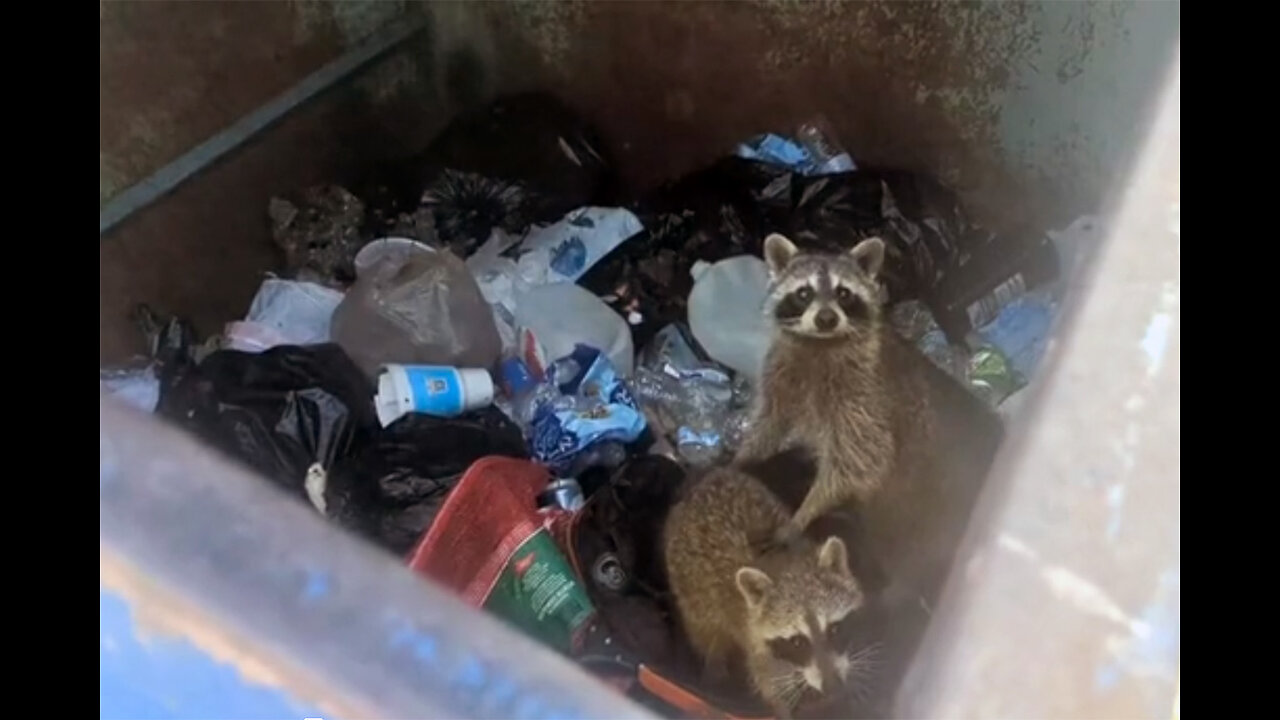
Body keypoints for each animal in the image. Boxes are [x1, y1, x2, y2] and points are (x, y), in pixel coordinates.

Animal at [660, 461, 870, 712]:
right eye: (797, 642)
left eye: (834, 629)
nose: (832, 687)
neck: (789, 564)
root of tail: (704, 476)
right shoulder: (755, 639)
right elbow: (770, 686)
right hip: (690, 589)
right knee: (706, 632)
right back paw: (714, 664)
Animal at [737, 233, 936, 545]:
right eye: (804, 293)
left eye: (844, 293)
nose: (826, 318)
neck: (821, 343)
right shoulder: (779, 373)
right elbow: (769, 421)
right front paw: (742, 458)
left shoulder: (864, 396)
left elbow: (863, 461)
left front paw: (805, 511)